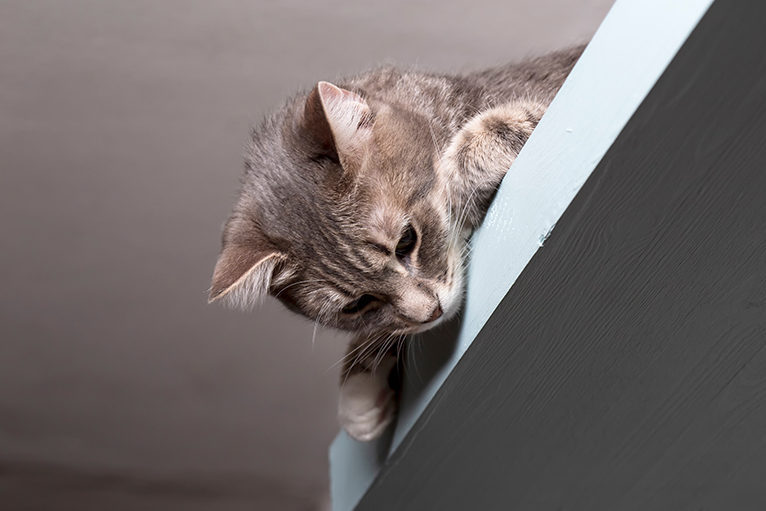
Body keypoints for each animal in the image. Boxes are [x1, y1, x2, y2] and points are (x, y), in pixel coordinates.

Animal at [207, 46, 584, 442]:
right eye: (357, 305)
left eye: (406, 241)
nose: (431, 313)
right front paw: (360, 380)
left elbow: (482, 140)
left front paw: (456, 182)